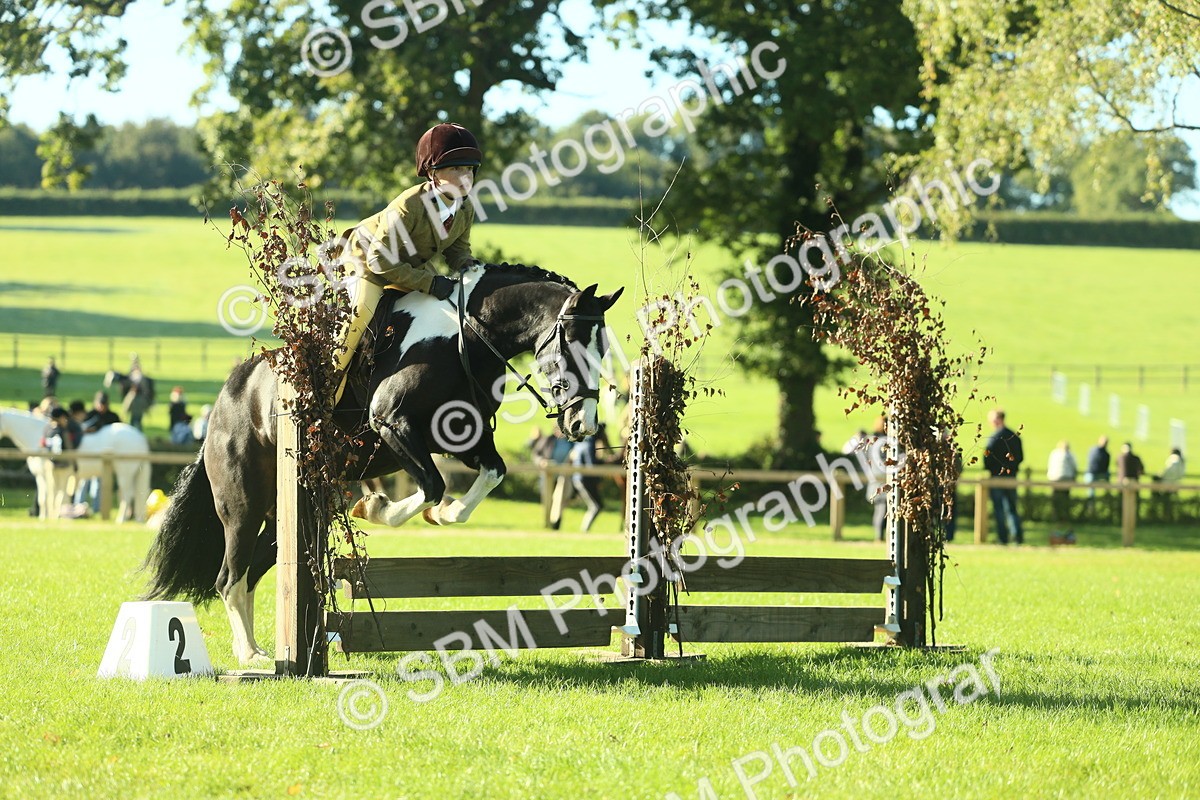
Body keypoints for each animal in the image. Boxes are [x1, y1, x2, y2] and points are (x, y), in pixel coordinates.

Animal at [0, 409, 152, 521]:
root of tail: (139, 437)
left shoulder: (55, 473)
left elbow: (57, 496)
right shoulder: (41, 475)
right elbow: (44, 497)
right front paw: (44, 517)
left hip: (124, 473)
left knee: (128, 494)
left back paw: (120, 519)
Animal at [141, 263, 623, 664]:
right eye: (574, 347)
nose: (583, 424)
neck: (466, 339)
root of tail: (227, 395)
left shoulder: (463, 438)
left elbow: (488, 475)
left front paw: (442, 515)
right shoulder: (393, 423)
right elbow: (431, 485)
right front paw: (374, 507)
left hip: (290, 510)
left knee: (253, 570)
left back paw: (261, 650)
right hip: (244, 503)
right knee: (229, 575)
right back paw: (249, 655)